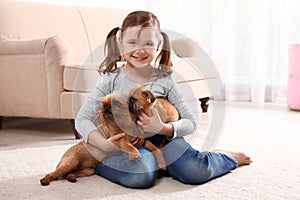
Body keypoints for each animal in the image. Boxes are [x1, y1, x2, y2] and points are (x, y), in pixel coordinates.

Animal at [40, 86, 178, 186]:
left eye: (115, 103)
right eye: (103, 104)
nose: (106, 107)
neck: (124, 123)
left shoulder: (142, 142)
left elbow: (156, 149)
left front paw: (162, 163)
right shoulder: (120, 140)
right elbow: (129, 146)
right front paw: (135, 154)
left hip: (88, 170)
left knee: (69, 173)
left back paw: (71, 177)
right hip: (71, 162)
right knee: (53, 173)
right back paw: (45, 180)